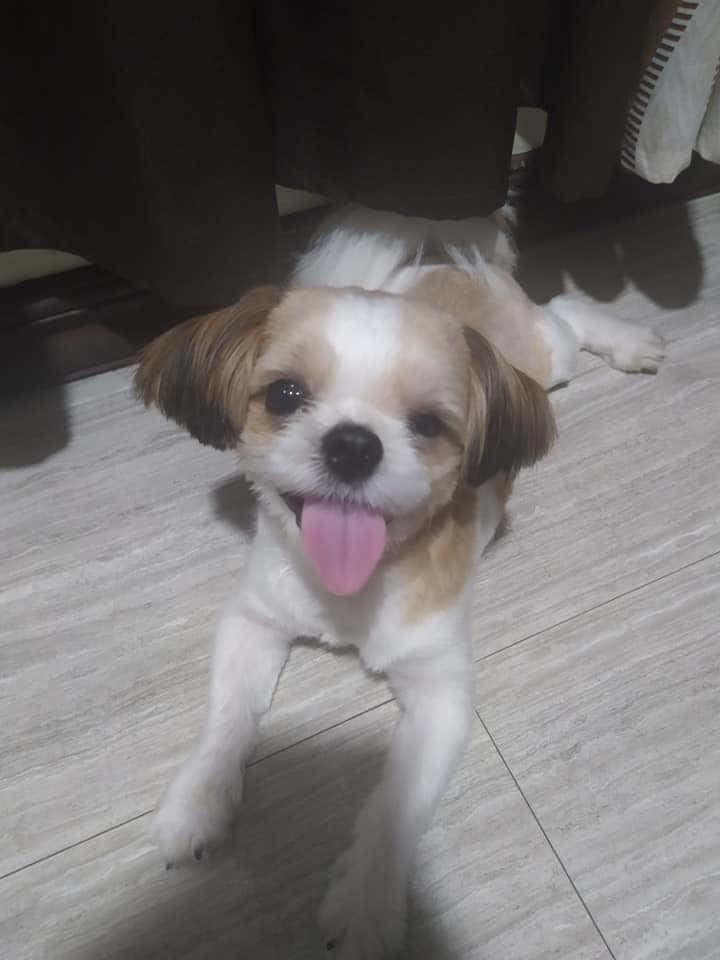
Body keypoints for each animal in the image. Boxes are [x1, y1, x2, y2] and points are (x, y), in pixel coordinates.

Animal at [134, 206, 664, 956]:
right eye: (285, 396)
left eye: (429, 424)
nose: (353, 443)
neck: (354, 586)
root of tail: (434, 268)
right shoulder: (254, 621)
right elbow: (229, 716)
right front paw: (199, 800)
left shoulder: (439, 692)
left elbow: (394, 802)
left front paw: (366, 903)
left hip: (543, 356)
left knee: (564, 311)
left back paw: (628, 342)